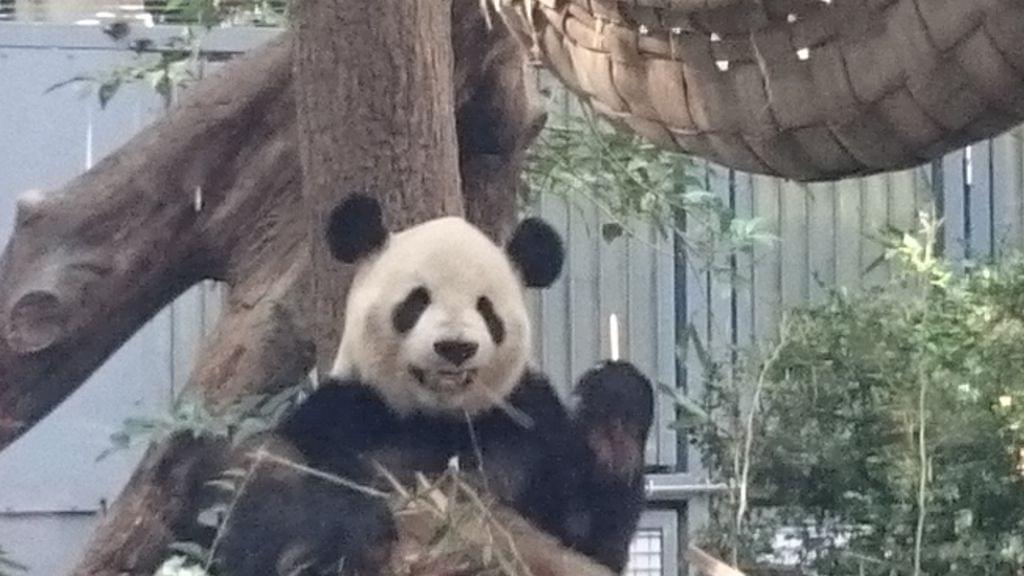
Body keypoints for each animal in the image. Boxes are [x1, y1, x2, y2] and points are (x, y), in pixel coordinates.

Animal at [215, 194, 655, 569]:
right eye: (416, 302)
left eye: (486, 309)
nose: (455, 347)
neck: (438, 416)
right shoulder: (344, 412)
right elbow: (263, 512)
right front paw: (351, 527)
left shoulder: (530, 422)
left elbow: (587, 533)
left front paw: (614, 414)